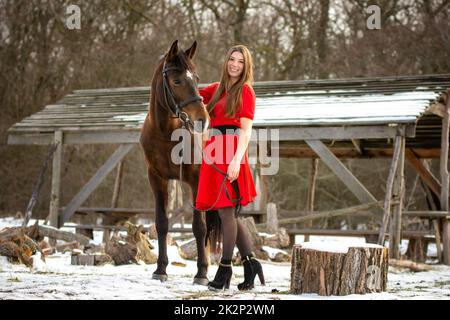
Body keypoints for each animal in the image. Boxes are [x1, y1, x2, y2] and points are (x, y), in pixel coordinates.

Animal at [140, 40, 219, 284]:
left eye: (196, 77)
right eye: (176, 81)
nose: (202, 120)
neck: (165, 133)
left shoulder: (195, 179)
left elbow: (199, 227)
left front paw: (201, 273)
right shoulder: (156, 178)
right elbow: (162, 223)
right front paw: (160, 269)